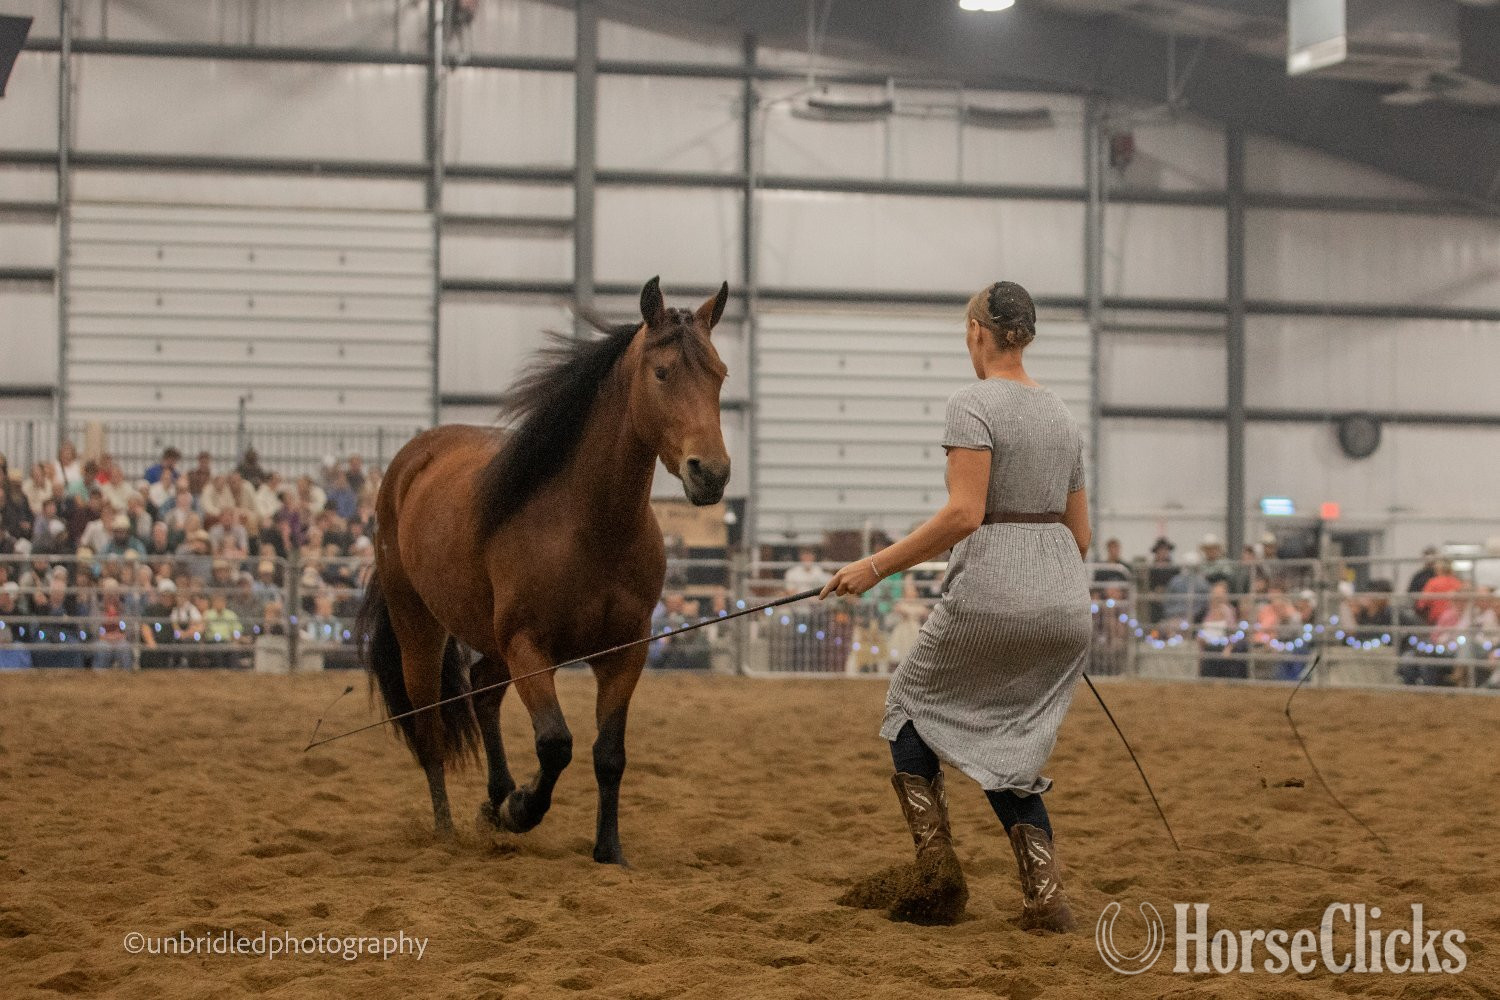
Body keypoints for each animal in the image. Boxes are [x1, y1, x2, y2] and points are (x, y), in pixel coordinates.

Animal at [358, 276, 731, 864]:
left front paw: (608, 849)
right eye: (662, 372)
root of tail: (411, 460)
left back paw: (493, 799)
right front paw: (522, 809)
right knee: (430, 721)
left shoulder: (625, 652)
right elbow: (556, 743)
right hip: (420, 624)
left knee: (482, 691)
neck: (590, 526)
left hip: (489, 637)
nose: (711, 473)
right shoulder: (529, 648)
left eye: (719, 374)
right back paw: (447, 828)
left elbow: (609, 753)